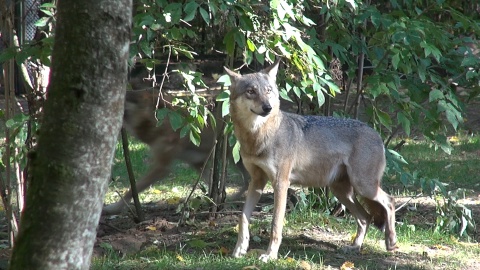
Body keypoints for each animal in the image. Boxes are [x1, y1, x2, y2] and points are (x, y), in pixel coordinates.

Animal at [103, 88, 249, 215]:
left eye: (130, 97)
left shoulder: (162, 168)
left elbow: (133, 190)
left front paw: (113, 208)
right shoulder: (198, 163)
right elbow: (214, 187)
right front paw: (215, 202)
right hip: (236, 160)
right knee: (247, 181)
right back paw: (234, 199)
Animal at [225, 59, 398, 262]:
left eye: (268, 91)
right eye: (251, 91)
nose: (267, 107)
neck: (258, 137)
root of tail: (376, 134)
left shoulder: (281, 183)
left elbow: (275, 224)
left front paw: (270, 255)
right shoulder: (257, 182)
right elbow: (243, 218)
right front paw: (239, 249)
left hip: (364, 187)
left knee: (390, 201)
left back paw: (391, 242)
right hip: (342, 191)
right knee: (365, 217)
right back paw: (354, 247)